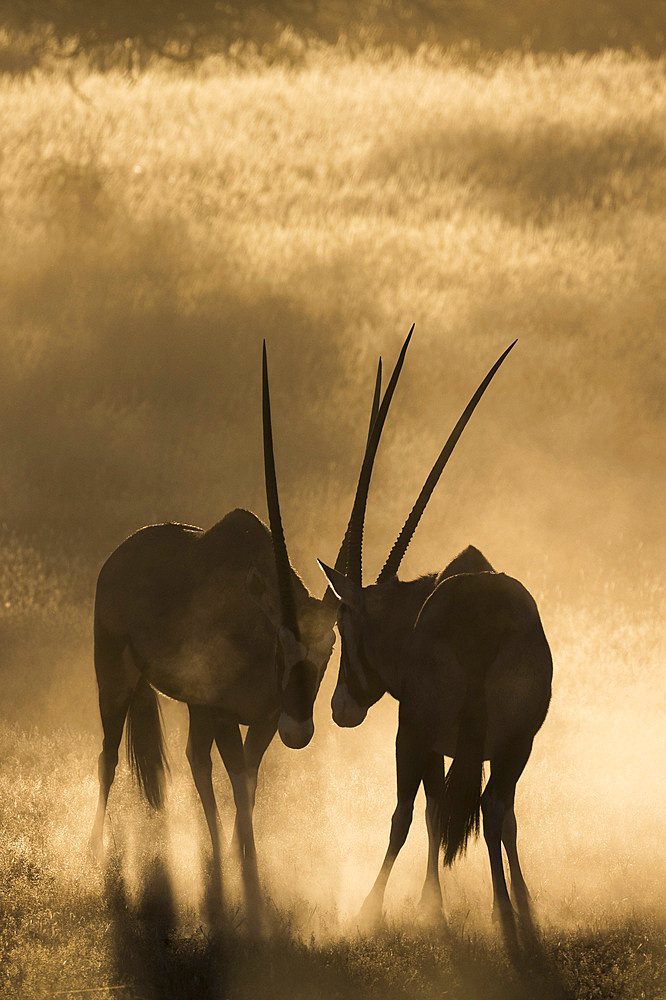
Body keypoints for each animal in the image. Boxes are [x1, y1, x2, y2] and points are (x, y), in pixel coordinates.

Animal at [88, 342, 390, 908]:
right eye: (280, 648)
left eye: (328, 652)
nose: (301, 731)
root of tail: (120, 556)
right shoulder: (227, 713)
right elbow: (234, 775)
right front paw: (240, 874)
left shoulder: (265, 718)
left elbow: (248, 779)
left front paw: (243, 860)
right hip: (116, 681)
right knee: (110, 755)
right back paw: (96, 849)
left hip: (193, 706)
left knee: (193, 760)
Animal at [320, 344, 552, 944]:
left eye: (343, 627)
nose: (340, 708)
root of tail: (479, 619)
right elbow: (481, 817)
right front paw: (521, 904)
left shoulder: (416, 736)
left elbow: (412, 815)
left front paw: (397, 908)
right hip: (517, 744)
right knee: (496, 809)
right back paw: (507, 911)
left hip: (421, 734)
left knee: (428, 812)